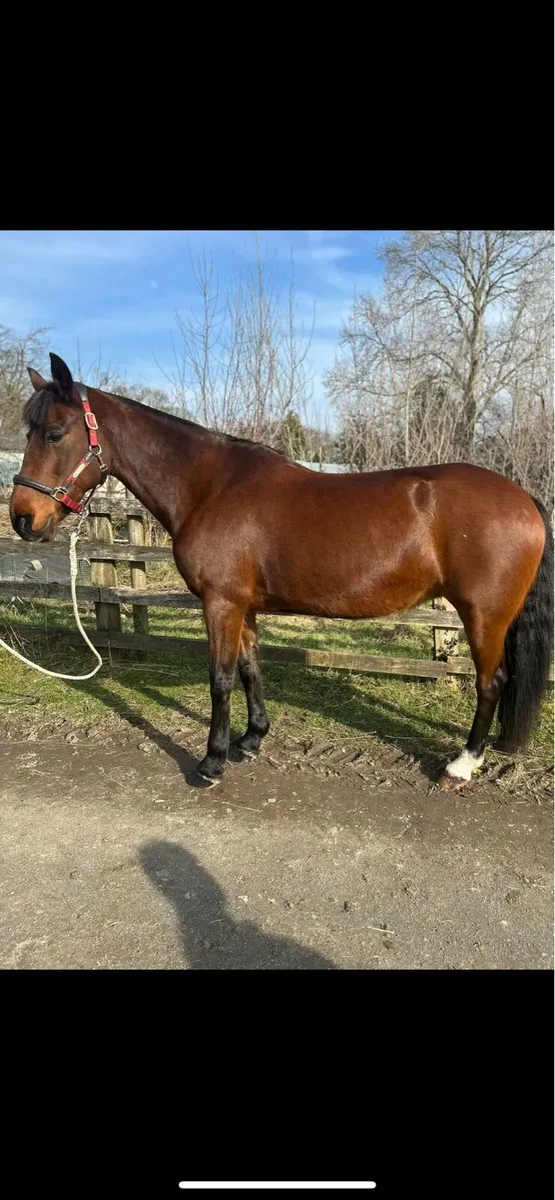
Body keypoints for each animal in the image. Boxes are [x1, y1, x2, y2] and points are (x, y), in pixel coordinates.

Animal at [9, 352, 554, 790]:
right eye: (30, 432)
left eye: (54, 434)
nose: (22, 518)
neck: (211, 487)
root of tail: (522, 496)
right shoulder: (242, 606)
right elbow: (250, 669)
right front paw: (251, 740)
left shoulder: (221, 604)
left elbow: (220, 679)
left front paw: (211, 762)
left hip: (484, 616)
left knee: (491, 682)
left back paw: (462, 765)